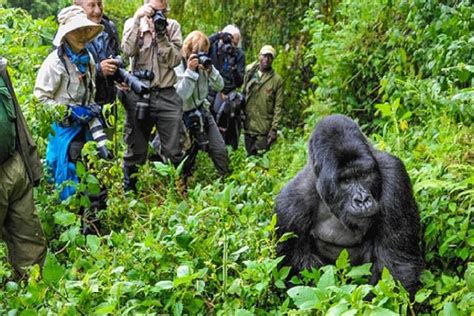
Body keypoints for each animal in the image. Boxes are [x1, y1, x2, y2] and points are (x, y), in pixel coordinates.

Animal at [276, 115, 424, 298]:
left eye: (363, 174)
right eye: (346, 180)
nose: (362, 200)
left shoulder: (395, 175)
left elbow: (397, 266)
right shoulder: (289, 207)